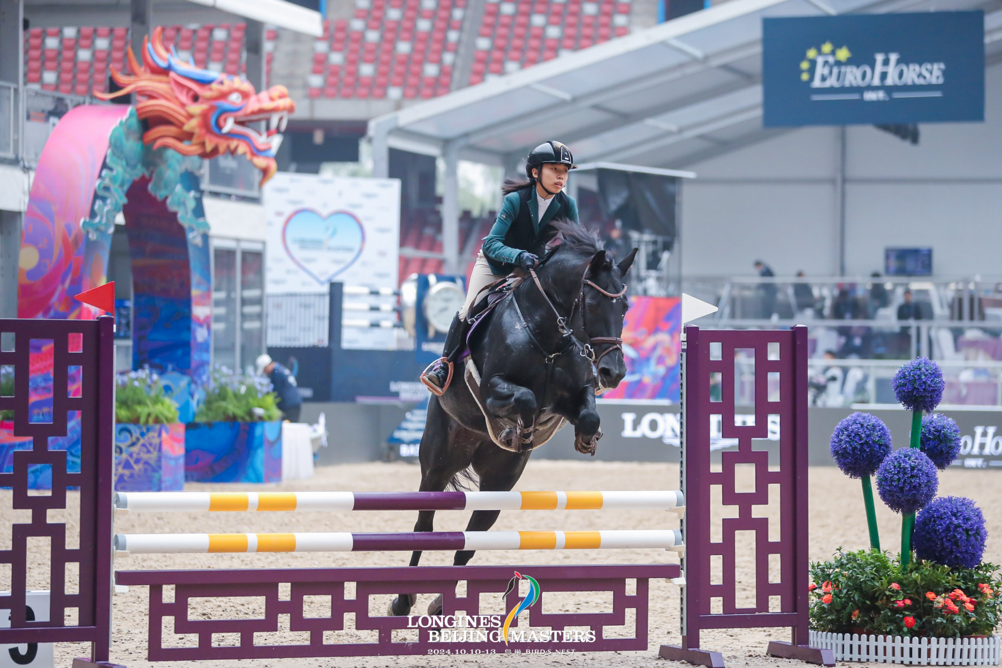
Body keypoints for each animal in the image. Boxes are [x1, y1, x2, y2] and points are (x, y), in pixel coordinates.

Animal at [390, 221, 637, 616]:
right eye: (593, 303)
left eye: (626, 306)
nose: (614, 374)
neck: (548, 337)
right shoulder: (492, 389)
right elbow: (525, 398)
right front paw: (517, 429)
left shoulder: (575, 395)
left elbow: (587, 416)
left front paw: (582, 439)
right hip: (436, 465)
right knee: (423, 525)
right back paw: (402, 600)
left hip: (498, 484)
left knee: (469, 541)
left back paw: (440, 605)